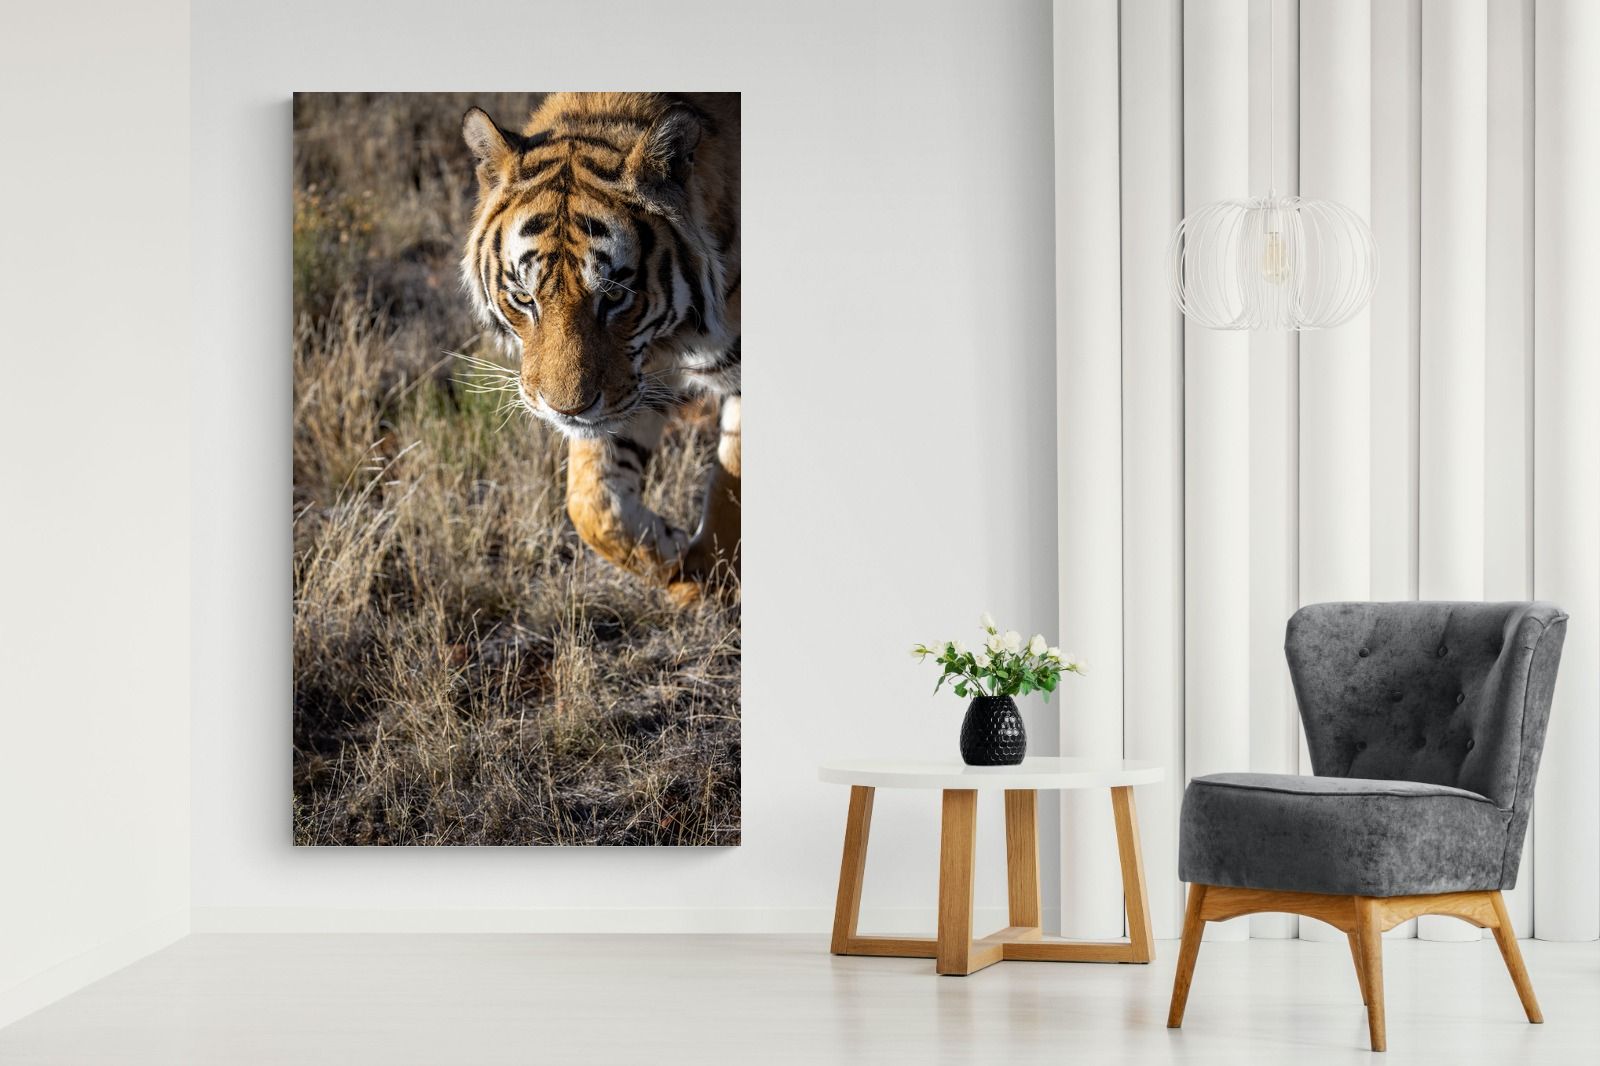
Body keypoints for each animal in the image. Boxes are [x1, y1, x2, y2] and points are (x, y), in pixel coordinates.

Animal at [460, 92, 740, 600]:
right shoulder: (634, 383)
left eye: (614, 296)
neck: (674, 338)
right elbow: (590, 502)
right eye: (524, 298)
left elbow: (732, 491)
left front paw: (708, 580)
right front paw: (669, 553)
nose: (565, 410)